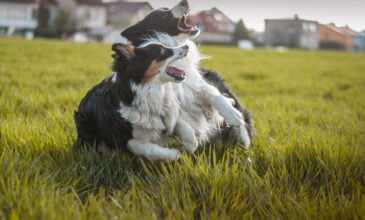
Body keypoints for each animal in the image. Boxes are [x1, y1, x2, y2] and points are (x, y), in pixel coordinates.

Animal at [121, 0, 255, 150]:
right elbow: (178, 122)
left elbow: (214, 94)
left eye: (166, 8)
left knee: (242, 128)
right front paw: (190, 140)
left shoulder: (197, 83)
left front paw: (232, 115)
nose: (184, 2)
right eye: (163, 16)